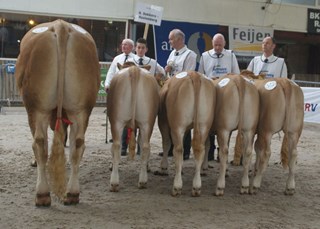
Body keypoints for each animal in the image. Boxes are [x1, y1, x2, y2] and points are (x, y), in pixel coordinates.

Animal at [14, 19, 100, 206]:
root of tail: (61, 25)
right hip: (80, 109)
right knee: (78, 144)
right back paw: (72, 193)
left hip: (37, 107)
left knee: (39, 143)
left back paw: (42, 195)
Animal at [107, 63, 160, 191]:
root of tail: (134, 70)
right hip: (147, 122)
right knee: (145, 146)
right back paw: (142, 181)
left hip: (117, 121)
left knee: (116, 145)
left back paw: (114, 183)